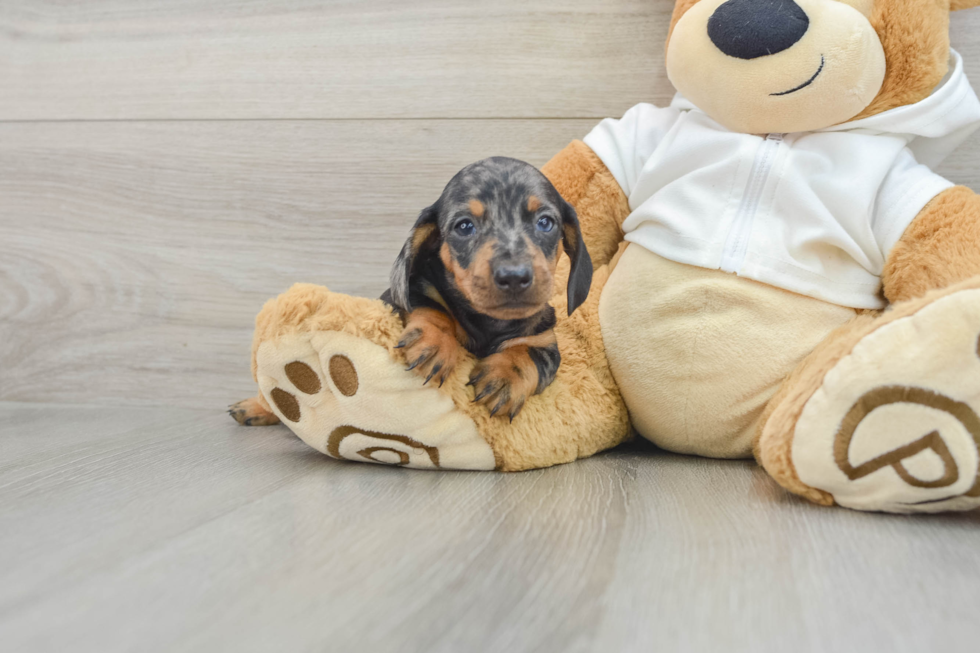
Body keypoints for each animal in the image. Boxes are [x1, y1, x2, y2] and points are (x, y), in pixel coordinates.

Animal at [384, 156, 592, 420]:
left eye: (545, 223)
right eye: (464, 226)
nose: (514, 276)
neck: (492, 322)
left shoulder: (545, 342)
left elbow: (530, 354)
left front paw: (507, 375)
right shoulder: (409, 290)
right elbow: (431, 304)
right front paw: (435, 339)